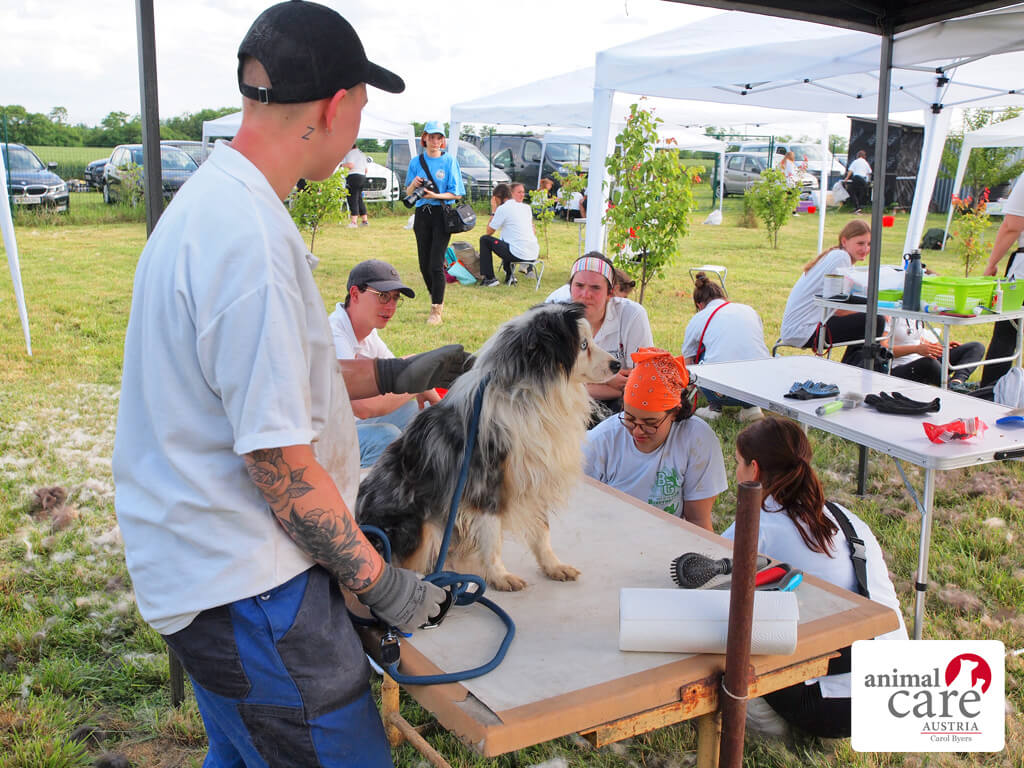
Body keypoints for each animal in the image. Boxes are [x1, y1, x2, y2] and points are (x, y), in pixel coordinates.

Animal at [356, 302, 620, 590]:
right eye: (583, 345)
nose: (618, 364)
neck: (528, 397)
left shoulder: (536, 476)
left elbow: (542, 531)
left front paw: (553, 566)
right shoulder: (486, 482)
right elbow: (492, 537)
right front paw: (499, 575)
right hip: (420, 526)